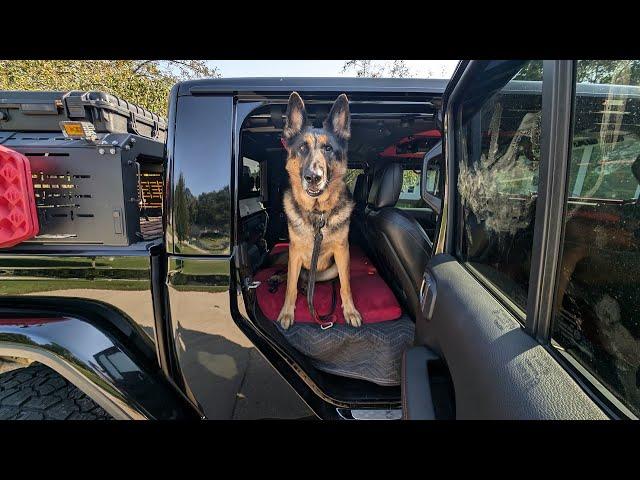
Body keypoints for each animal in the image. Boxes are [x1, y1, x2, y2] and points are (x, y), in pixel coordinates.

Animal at [278, 91, 362, 328]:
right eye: (302, 148)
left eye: (328, 149)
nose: (313, 177)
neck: (317, 214)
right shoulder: (294, 252)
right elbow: (290, 287)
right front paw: (287, 312)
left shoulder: (343, 251)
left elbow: (346, 285)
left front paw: (350, 310)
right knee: (290, 277)